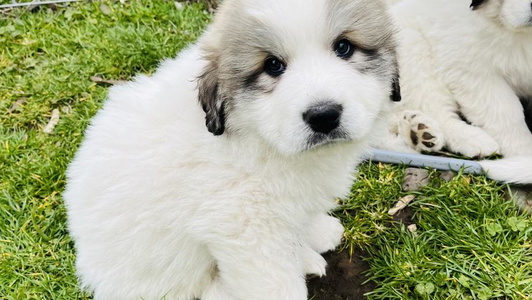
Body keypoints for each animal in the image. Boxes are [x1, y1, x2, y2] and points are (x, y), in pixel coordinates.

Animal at [63, 0, 400, 300]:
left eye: (344, 48)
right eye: (272, 65)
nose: (323, 115)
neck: (258, 136)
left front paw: (314, 231)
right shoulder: (246, 230)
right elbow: (276, 283)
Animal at [384, 0, 532, 158]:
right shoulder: (473, 68)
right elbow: (505, 111)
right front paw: (523, 151)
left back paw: (415, 131)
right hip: (412, 52)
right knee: (434, 109)